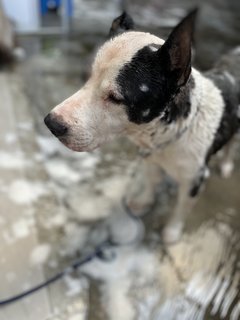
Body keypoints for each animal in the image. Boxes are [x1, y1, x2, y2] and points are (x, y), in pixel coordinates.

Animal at [44, 10, 240, 244]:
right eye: (86, 77)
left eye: (116, 97)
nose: (52, 123)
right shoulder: (151, 158)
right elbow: (151, 182)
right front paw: (144, 202)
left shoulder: (195, 179)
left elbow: (181, 209)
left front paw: (172, 232)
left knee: (232, 143)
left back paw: (227, 164)